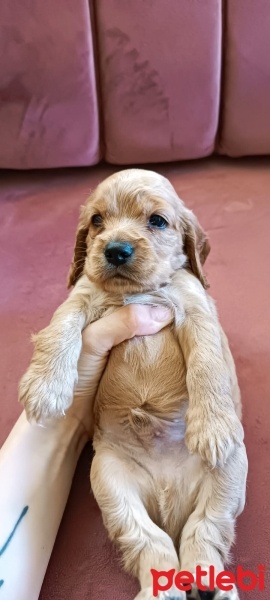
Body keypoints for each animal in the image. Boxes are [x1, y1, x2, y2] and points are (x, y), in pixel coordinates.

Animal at [19, 169, 247, 600]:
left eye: (157, 220)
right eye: (96, 221)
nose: (116, 250)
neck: (137, 292)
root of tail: (170, 503)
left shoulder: (197, 311)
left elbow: (207, 362)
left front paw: (211, 426)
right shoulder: (82, 296)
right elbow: (61, 326)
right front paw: (45, 386)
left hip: (231, 471)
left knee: (205, 529)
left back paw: (210, 583)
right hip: (110, 482)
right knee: (151, 542)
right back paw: (164, 589)